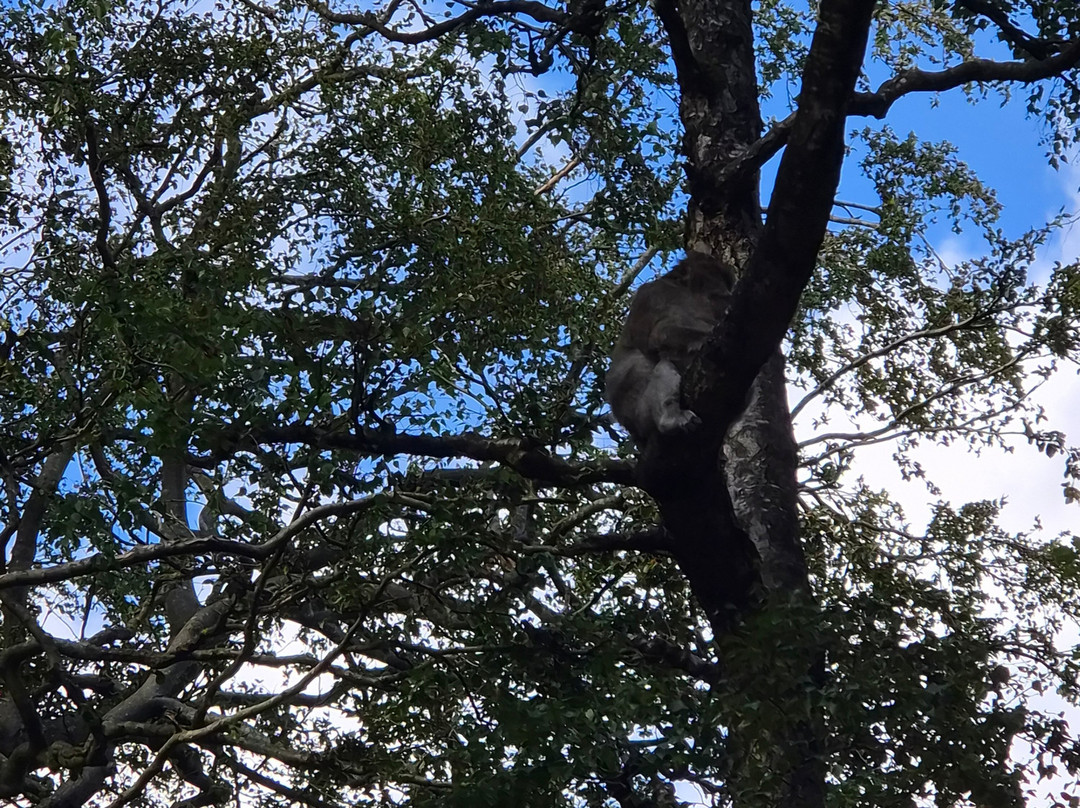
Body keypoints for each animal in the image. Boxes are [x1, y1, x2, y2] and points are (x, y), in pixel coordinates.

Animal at [605, 252, 736, 447]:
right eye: (716, 276)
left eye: (726, 282)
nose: (727, 293)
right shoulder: (656, 294)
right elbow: (660, 333)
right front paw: (705, 339)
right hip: (642, 414)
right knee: (664, 366)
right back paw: (671, 419)